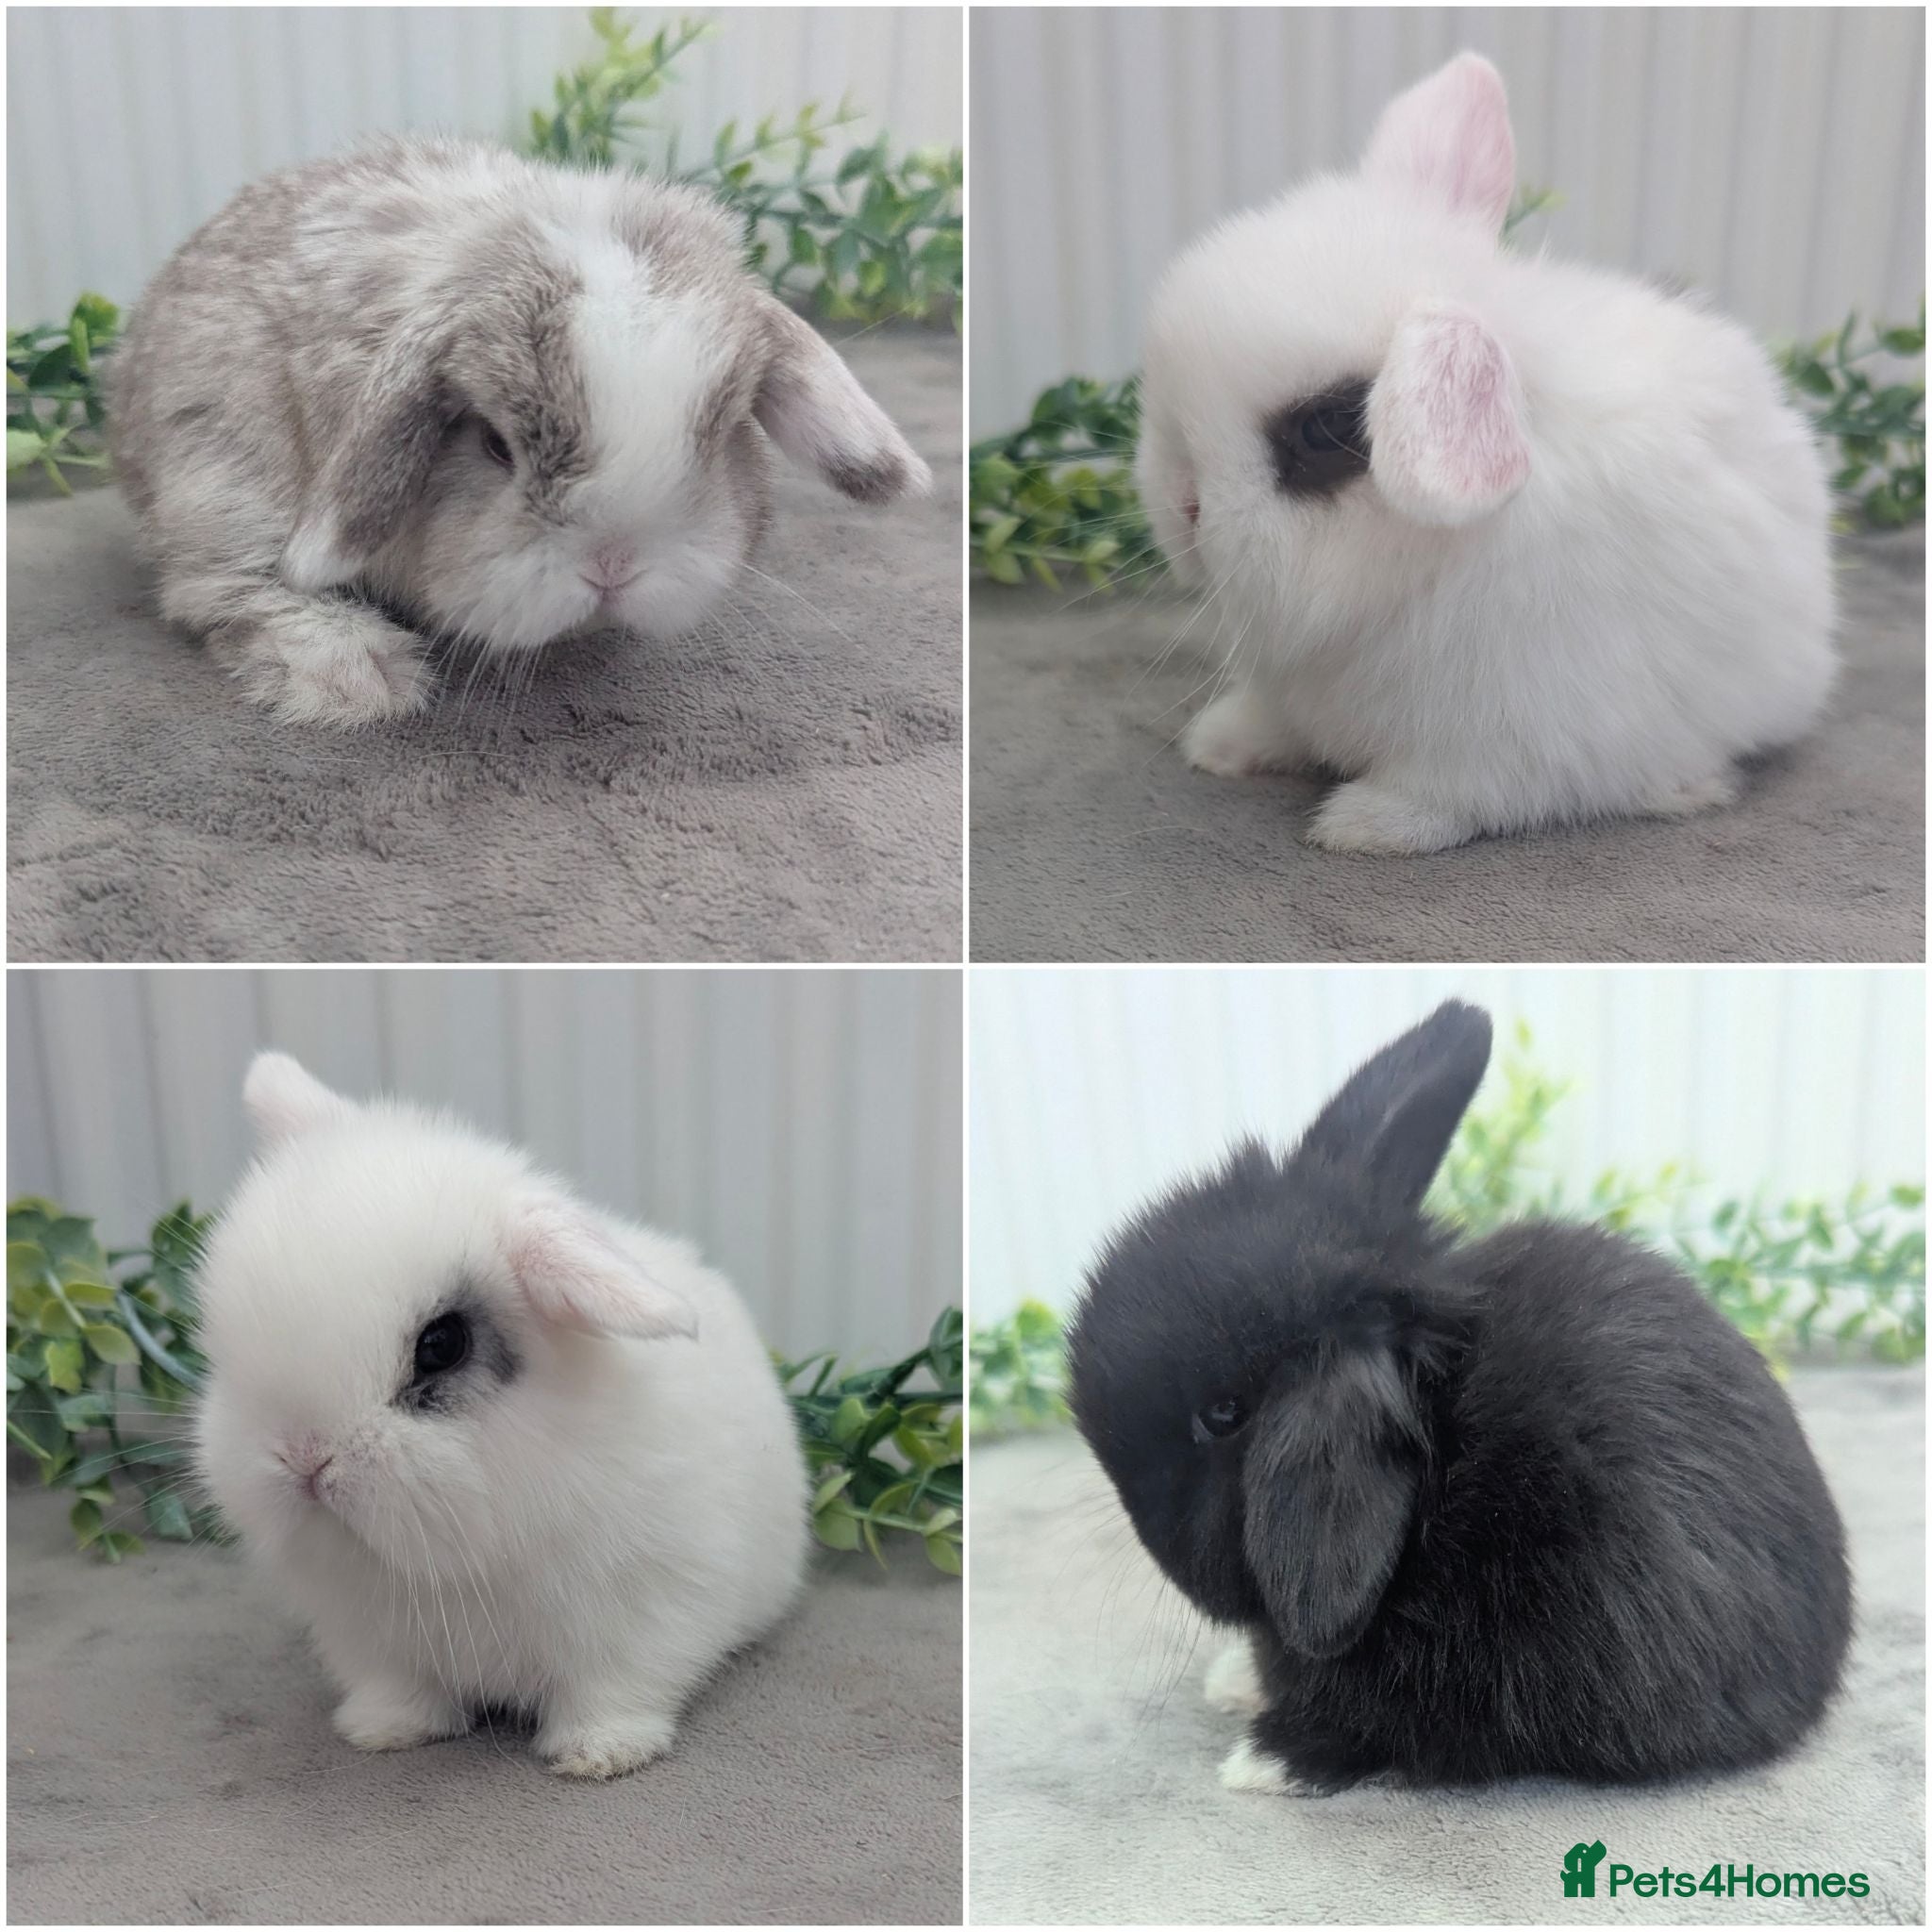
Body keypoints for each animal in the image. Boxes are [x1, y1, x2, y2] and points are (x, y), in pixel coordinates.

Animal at [107, 137, 931, 726]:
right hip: (214, 468)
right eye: (496, 446)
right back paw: (358, 673)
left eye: (724, 431)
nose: (613, 567)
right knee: (211, 586)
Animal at [192, 1051, 809, 1778]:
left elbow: (616, 1689)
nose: (303, 1459)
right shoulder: (372, 1640)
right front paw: (383, 1731)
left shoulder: (648, 1611)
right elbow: (400, 1690)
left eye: (442, 1344)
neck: (457, 1564)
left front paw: (599, 1755)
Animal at [1135, 53, 1836, 852]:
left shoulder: (1508, 744)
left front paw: (1362, 826)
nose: (1183, 507)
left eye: (1324, 430)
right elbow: (1272, 721)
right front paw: (1220, 744)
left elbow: (1452, 798)